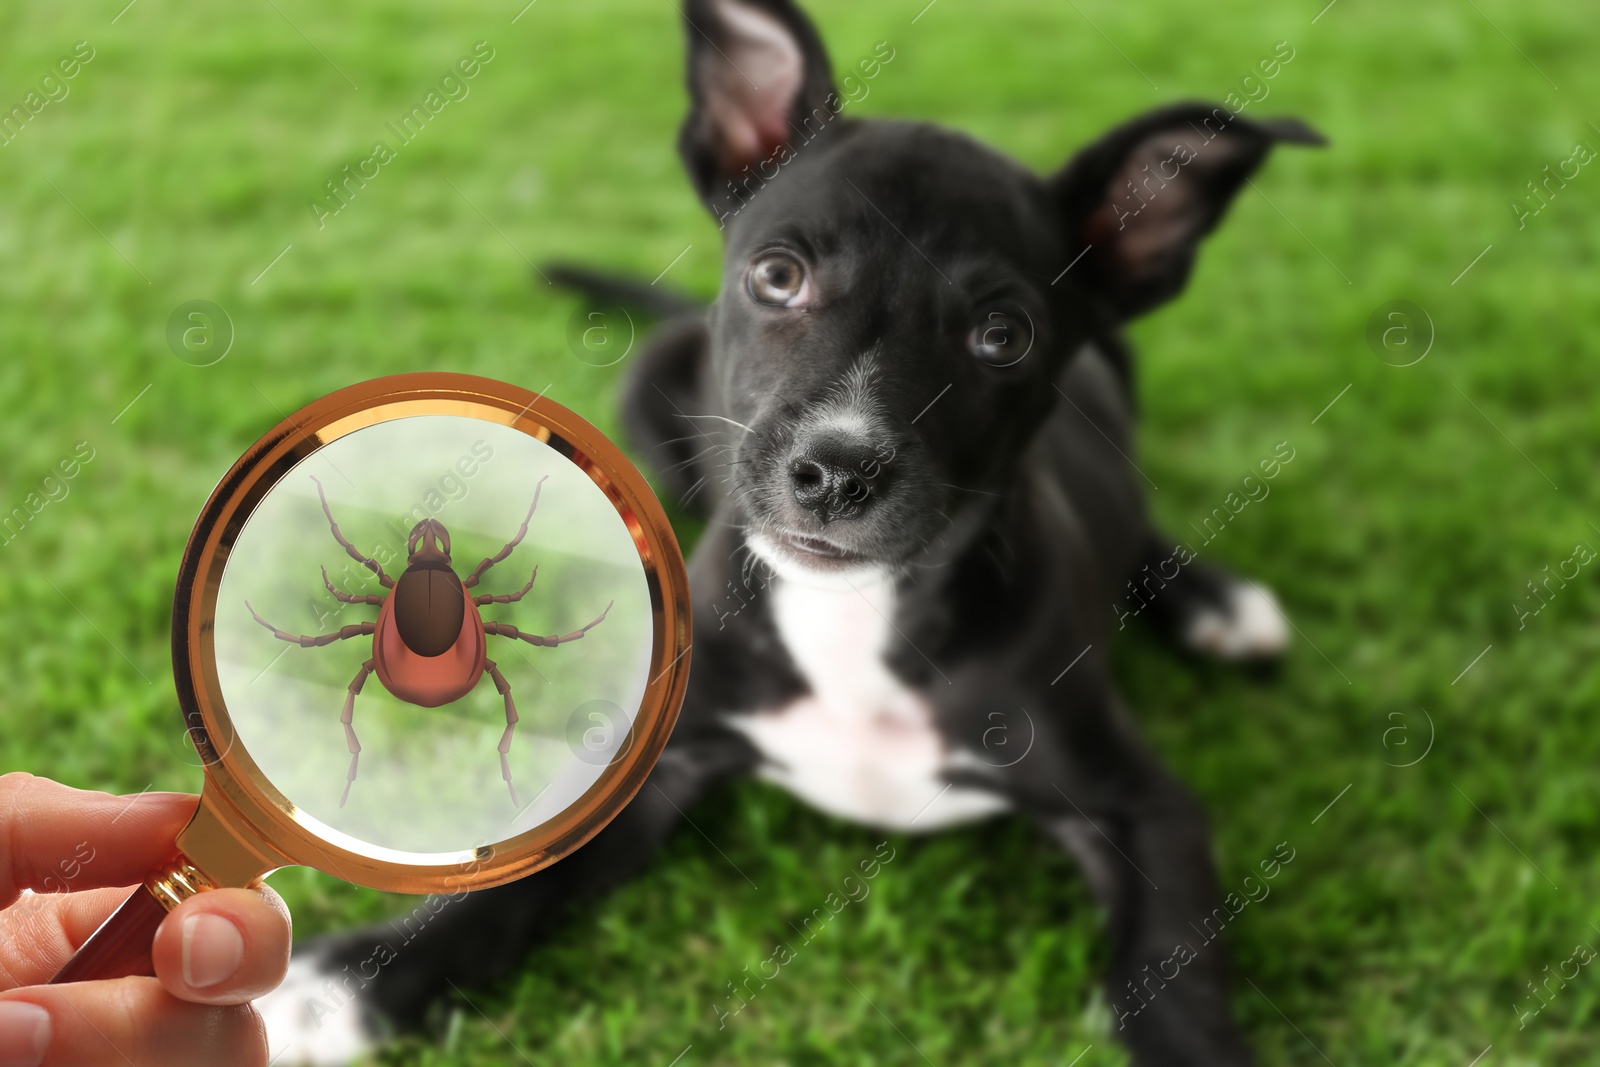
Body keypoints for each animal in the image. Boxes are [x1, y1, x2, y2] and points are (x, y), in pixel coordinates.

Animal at [259, 4, 1312, 1062]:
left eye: (1003, 335)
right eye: (777, 275)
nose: (839, 472)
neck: (852, 622)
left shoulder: (1145, 805)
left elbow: (1169, 975)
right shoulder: (657, 757)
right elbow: (510, 881)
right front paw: (343, 984)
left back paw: (1218, 599)